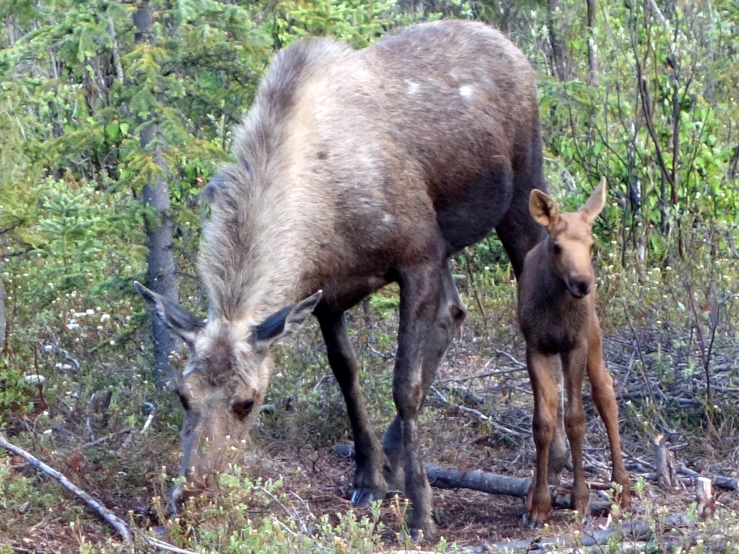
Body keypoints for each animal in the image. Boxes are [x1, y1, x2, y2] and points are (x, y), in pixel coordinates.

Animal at [137, 21, 556, 536]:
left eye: (248, 402)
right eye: (182, 395)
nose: (189, 497)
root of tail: (507, 43)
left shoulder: (417, 255)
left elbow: (403, 385)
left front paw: (421, 512)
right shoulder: (329, 294)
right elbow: (347, 376)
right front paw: (370, 476)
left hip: (522, 188)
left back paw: (549, 475)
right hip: (450, 245)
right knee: (453, 312)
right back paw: (395, 461)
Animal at [516, 179, 632, 524]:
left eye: (592, 245)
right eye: (557, 246)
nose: (581, 283)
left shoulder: (575, 345)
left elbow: (576, 420)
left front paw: (580, 498)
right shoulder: (535, 347)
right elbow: (542, 422)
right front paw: (539, 503)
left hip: (593, 337)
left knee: (605, 391)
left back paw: (622, 488)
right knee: (558, 401)